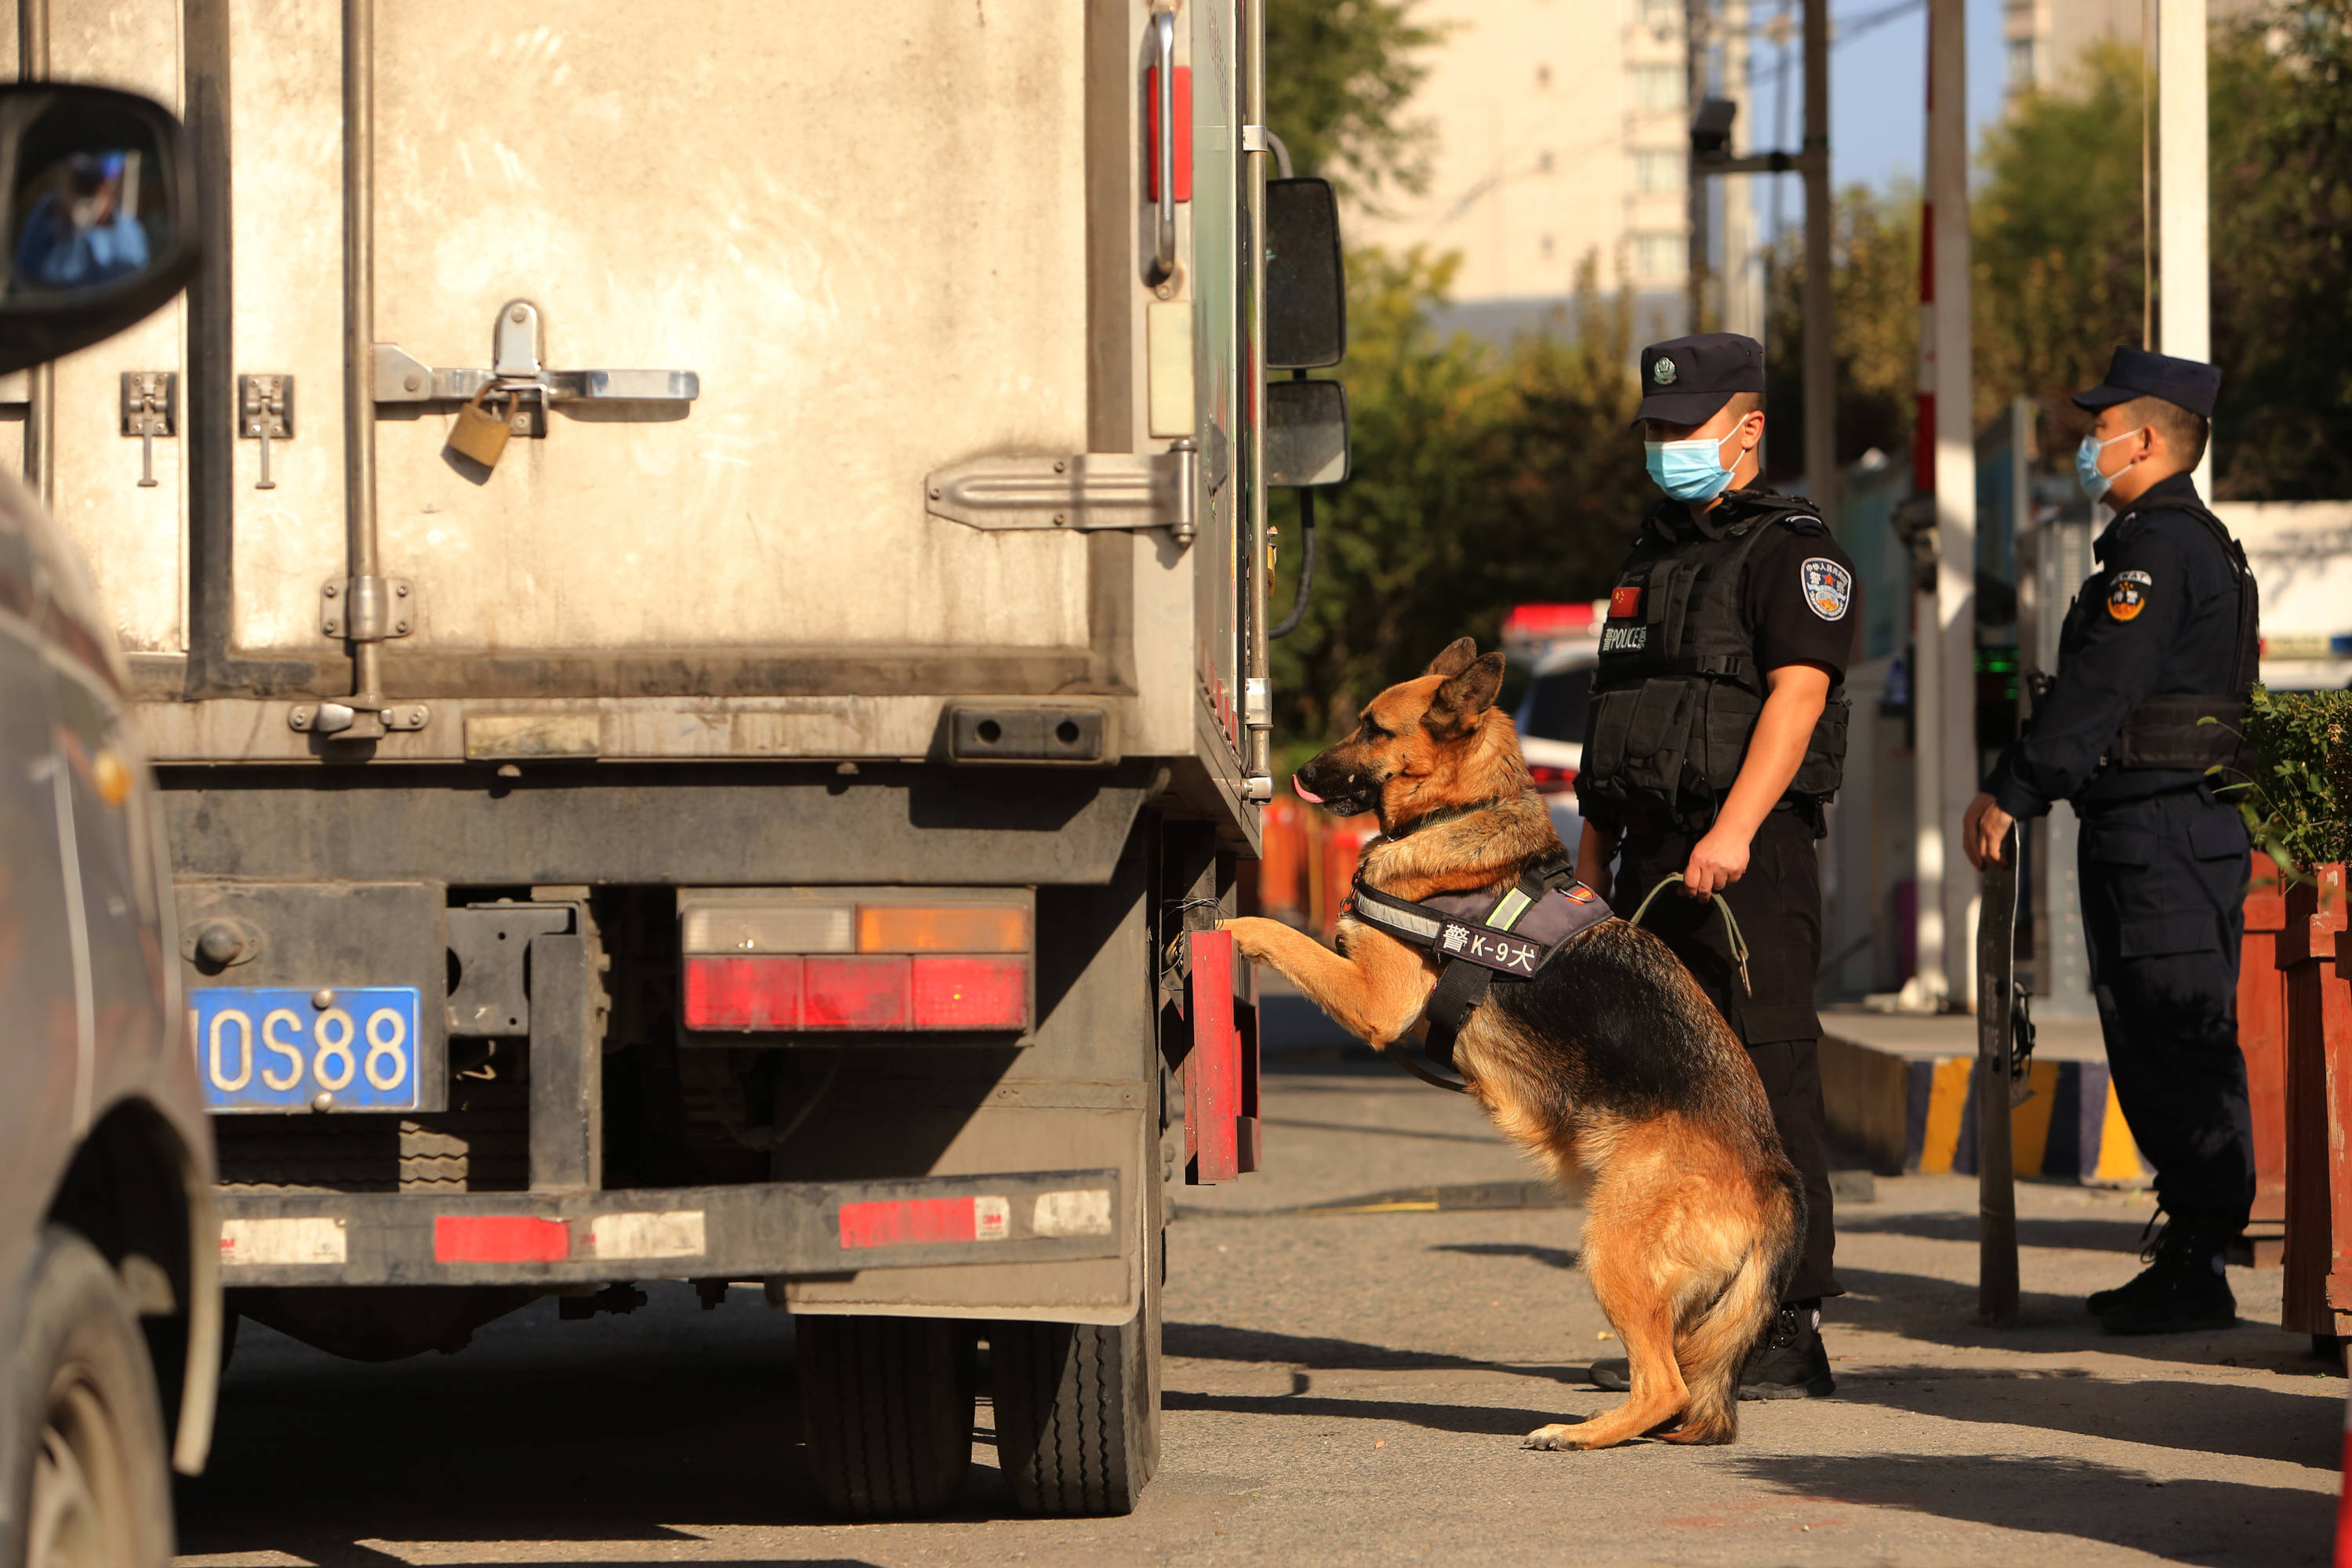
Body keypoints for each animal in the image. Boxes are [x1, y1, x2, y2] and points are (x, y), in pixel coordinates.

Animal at [1223, 644, 1788, 1457]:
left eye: (1373, 727)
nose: (1301, 772)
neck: (1463, 813)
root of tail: (1771, 1175)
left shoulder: (1374, 1000)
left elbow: (1279, 933)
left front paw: (1228, 928)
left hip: (1611, 1248)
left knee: (1666, 1384)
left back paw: (1578, 1434)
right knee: (1682, 1380)